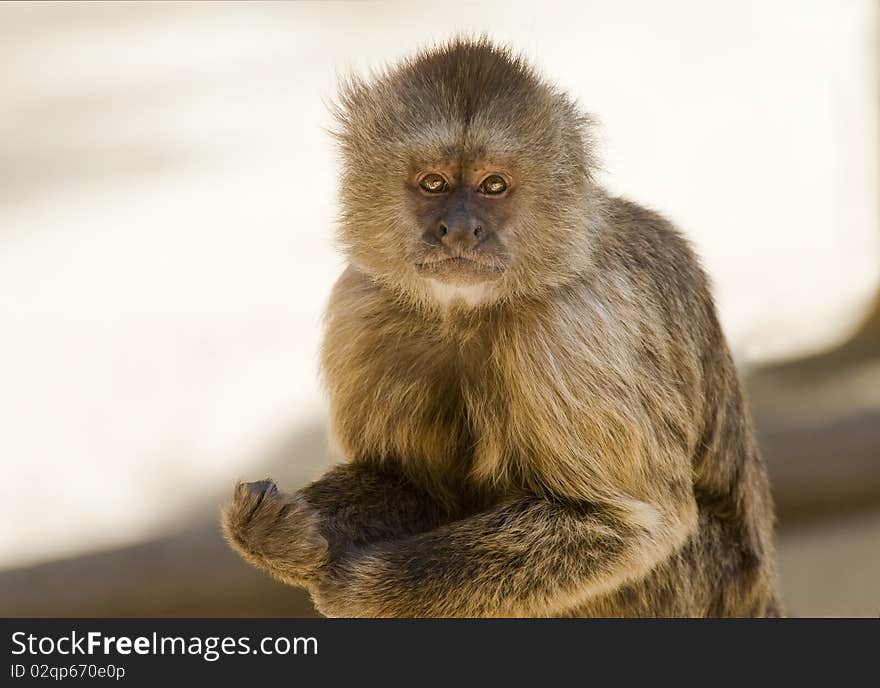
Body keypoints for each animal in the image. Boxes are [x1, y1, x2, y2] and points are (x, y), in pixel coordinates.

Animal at [223, 36, 780, 620]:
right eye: (435, 183)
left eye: (493, 186)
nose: (459, 228)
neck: (468, 312)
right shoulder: (361, 309)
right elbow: (410, 483)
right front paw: (283, 537)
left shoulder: (574, 331)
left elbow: (628, 523)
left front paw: (369, 590)